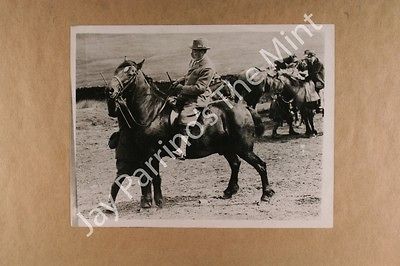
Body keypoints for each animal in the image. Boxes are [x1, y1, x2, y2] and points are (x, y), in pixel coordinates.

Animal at [106, 59, 276, 209]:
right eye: (115, 71)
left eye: (131, 73)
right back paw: (229, 191)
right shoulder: (145, 154)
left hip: (243, 149)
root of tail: (244, 107)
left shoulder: (152, 153)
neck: (151, 112)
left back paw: (266, 194)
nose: (110, 91)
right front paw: (149, 201)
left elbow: (154, 177)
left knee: (260, 165)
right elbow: (147, 177)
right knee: (235, 164)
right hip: (227, 148)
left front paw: (158, 201)